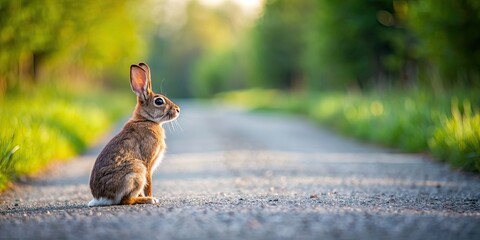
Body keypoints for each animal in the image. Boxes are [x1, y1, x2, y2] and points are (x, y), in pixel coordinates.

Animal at [88, 62, 180, 207]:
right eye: (159, 101)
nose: (178, 110)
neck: (146, 120)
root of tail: (102, 198)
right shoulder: (147, 164)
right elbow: (148, 185)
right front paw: (152, 197)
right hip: (135, 173)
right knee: (126, 200)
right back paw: (148, 200)